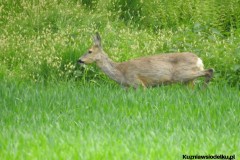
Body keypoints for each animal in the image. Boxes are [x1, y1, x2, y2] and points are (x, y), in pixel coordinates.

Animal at [78, 32, 214, 89]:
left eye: (89, 51)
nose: (79, 60)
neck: (120, 72)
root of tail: (199, 60)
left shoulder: (137, 82)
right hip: (187, 80)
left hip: (182, 74)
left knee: (210, 70)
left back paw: (203, 90)